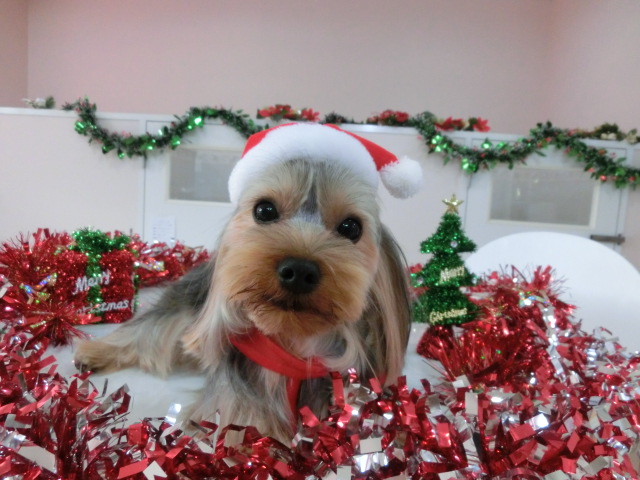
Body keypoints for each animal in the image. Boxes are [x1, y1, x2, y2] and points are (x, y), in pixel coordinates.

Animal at [74, 123, 421, 442]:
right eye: (264, 209)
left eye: (351, 227)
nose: (299, 270)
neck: (292, 343)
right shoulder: (233, 401)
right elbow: (242, 426)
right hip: (189, 301)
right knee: (150, 330)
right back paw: (94, 353)